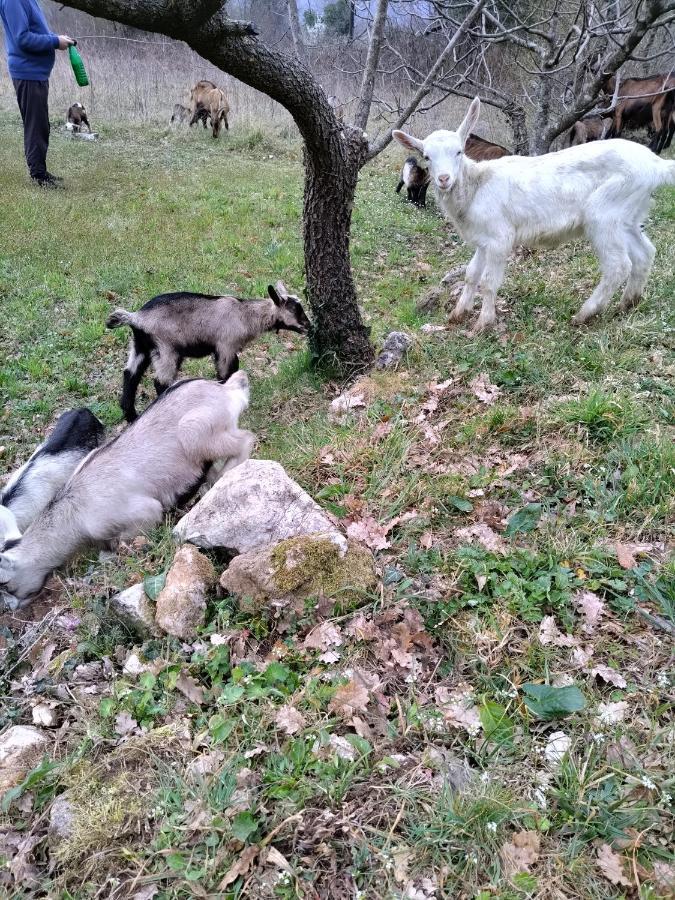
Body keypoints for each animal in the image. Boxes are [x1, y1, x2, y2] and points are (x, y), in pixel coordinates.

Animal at [394, 96, 675, 334]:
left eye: (459, 152)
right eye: (427, 156)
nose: (443, 179)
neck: (475, 186)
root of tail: (655, 165)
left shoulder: (500, 237)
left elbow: (488, 281)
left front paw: (483, 324)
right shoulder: (483, 239)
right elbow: (471, 274)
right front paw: (457, 314)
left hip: (605, 212)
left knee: (618, 265)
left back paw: (584, 314)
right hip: (628, 214)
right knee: (644, 253)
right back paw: (628, 304)